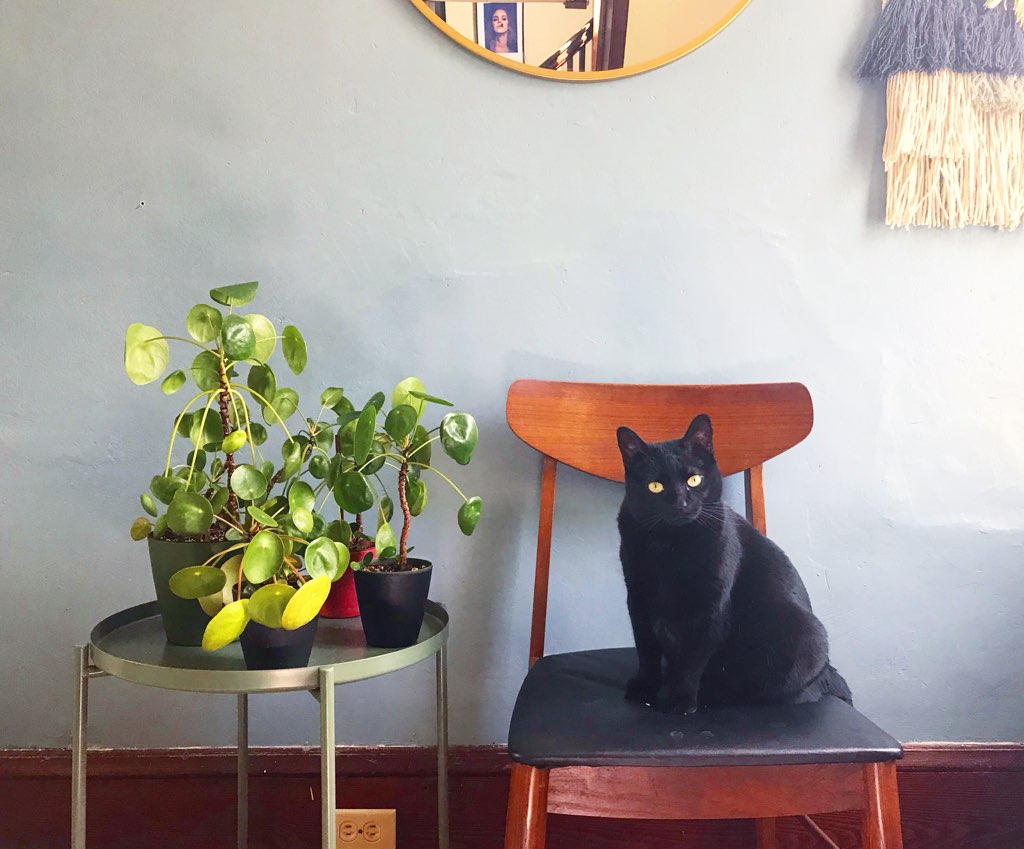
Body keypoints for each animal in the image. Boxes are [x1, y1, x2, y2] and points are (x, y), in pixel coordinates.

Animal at [614, 413, 847, 712]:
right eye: (655, 486)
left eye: (694, 480)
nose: (681, 504)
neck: (671, 544)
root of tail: (829, 671)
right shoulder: (638, 596)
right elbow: (646, 648)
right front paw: (646, 686)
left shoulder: (710, 605)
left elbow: (691, 660)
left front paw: (679, 700)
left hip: (803, 633)